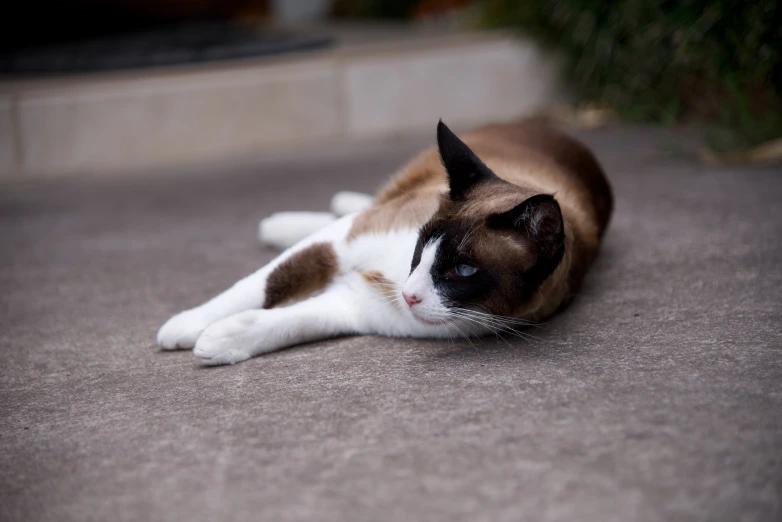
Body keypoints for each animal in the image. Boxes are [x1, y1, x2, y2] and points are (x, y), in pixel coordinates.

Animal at [156, 120, 616, 364]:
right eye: (421, 246)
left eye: (463, 270)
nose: (409, 295)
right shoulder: (338, 242)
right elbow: (258, 287)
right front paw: (185, 326)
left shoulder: (355, 306)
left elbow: (288, 321)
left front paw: (218, 341)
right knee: (352, 207)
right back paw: (289, 220)